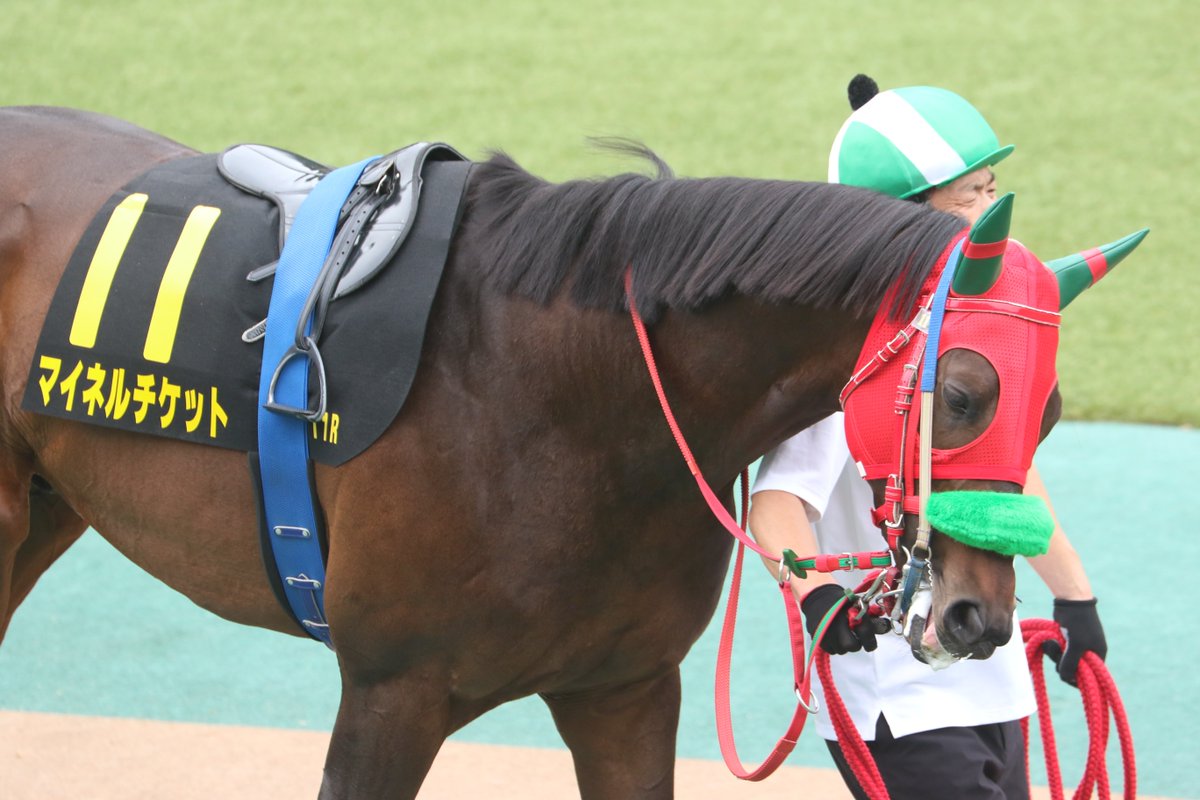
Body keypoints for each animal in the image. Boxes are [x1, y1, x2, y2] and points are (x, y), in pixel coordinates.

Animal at [0, 105, 1075, 798]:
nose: (981, 614)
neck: (563, 400)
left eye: (1054, 411)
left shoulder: (624, 689)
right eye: (966, 394)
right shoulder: (389, 694)